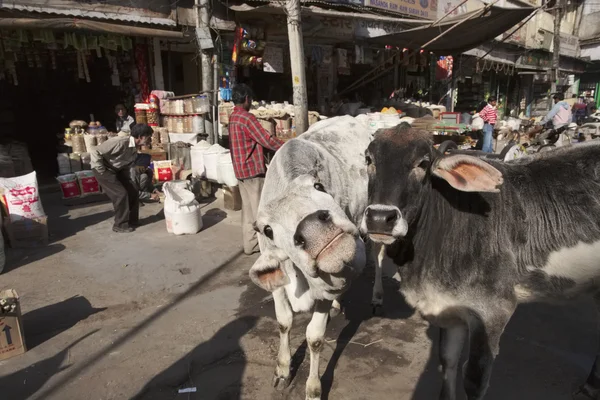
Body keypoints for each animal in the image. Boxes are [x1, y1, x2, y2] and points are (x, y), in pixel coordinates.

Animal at [247, 115, 384, 400]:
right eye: (268, 230)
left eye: (318, 186)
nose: (313, 229)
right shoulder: (277, 279)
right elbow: (284, 322)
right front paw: (283, 369)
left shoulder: (324, 288)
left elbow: (315, 337)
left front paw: (312, 388)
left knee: (378, 257)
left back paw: (377, 296)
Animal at [360, 125, 600, 400]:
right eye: (369, 159)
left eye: (423, 163)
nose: (380, 218)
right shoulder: (448, 309)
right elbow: (447, 361)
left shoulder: (494, 312)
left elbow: (474, 378)